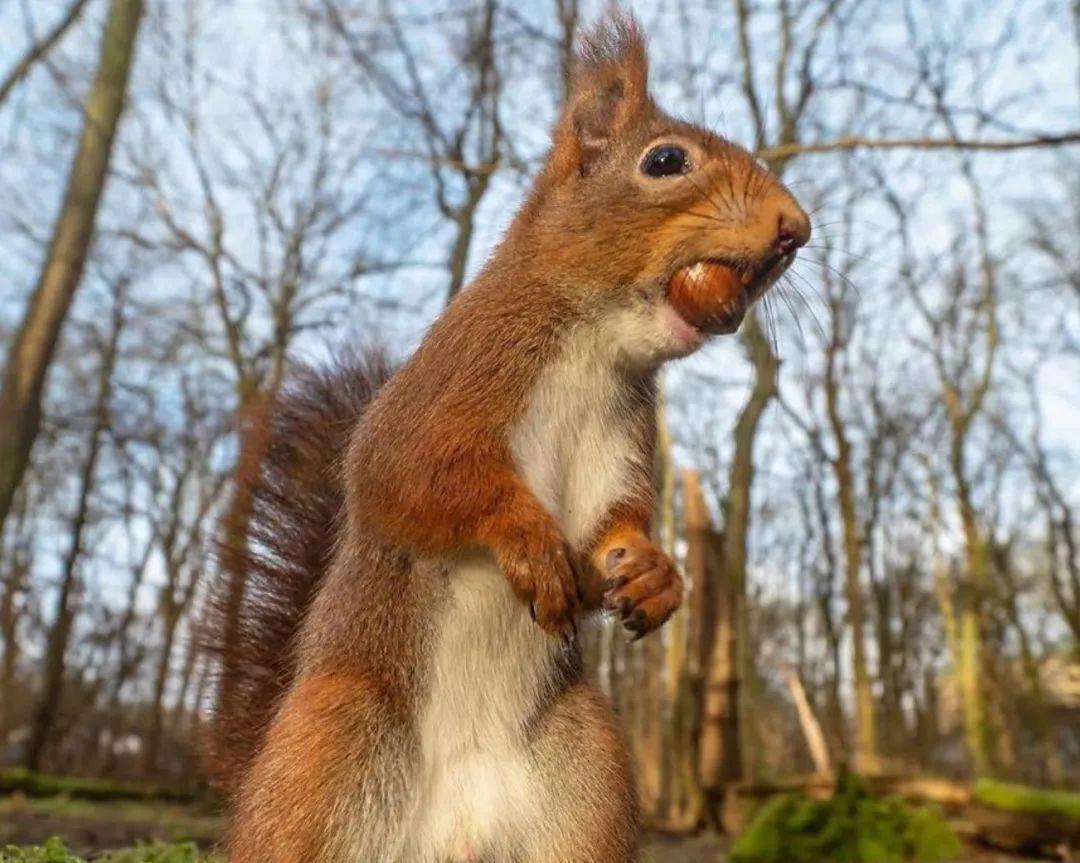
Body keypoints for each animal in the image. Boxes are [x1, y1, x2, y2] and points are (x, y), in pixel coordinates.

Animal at [204, 11, 812, 863]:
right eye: (665, 161)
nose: (796, 228)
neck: (595, 343)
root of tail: (450, 838)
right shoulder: (446, 385)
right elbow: (409, 477)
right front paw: (525, 537)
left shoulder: (620, 437)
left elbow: (612, 527)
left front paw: (656, 574)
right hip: (326, 750)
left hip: (588, 771)